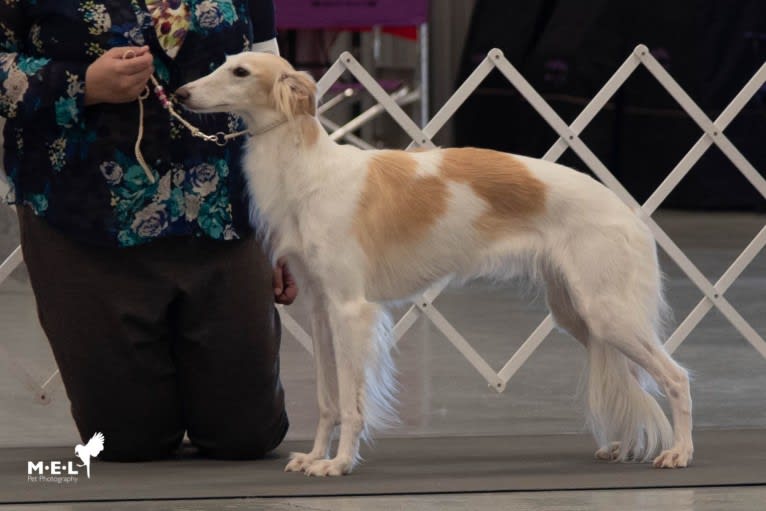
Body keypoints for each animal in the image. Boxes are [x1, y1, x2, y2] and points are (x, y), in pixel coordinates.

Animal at [178, 52, 696, 476]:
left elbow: (350, 401)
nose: (180, 93)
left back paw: (680, 452)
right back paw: (626, 445)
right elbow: (328, 400)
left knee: (676, 377)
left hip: (607, 312)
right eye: (223, 63)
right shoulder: (322, 310)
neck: (310, 171)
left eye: (241, 72)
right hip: (579, 314)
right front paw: (315, 457)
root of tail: (628, 213)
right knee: (636, 380)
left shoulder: (351, 309)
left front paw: (340, 462)